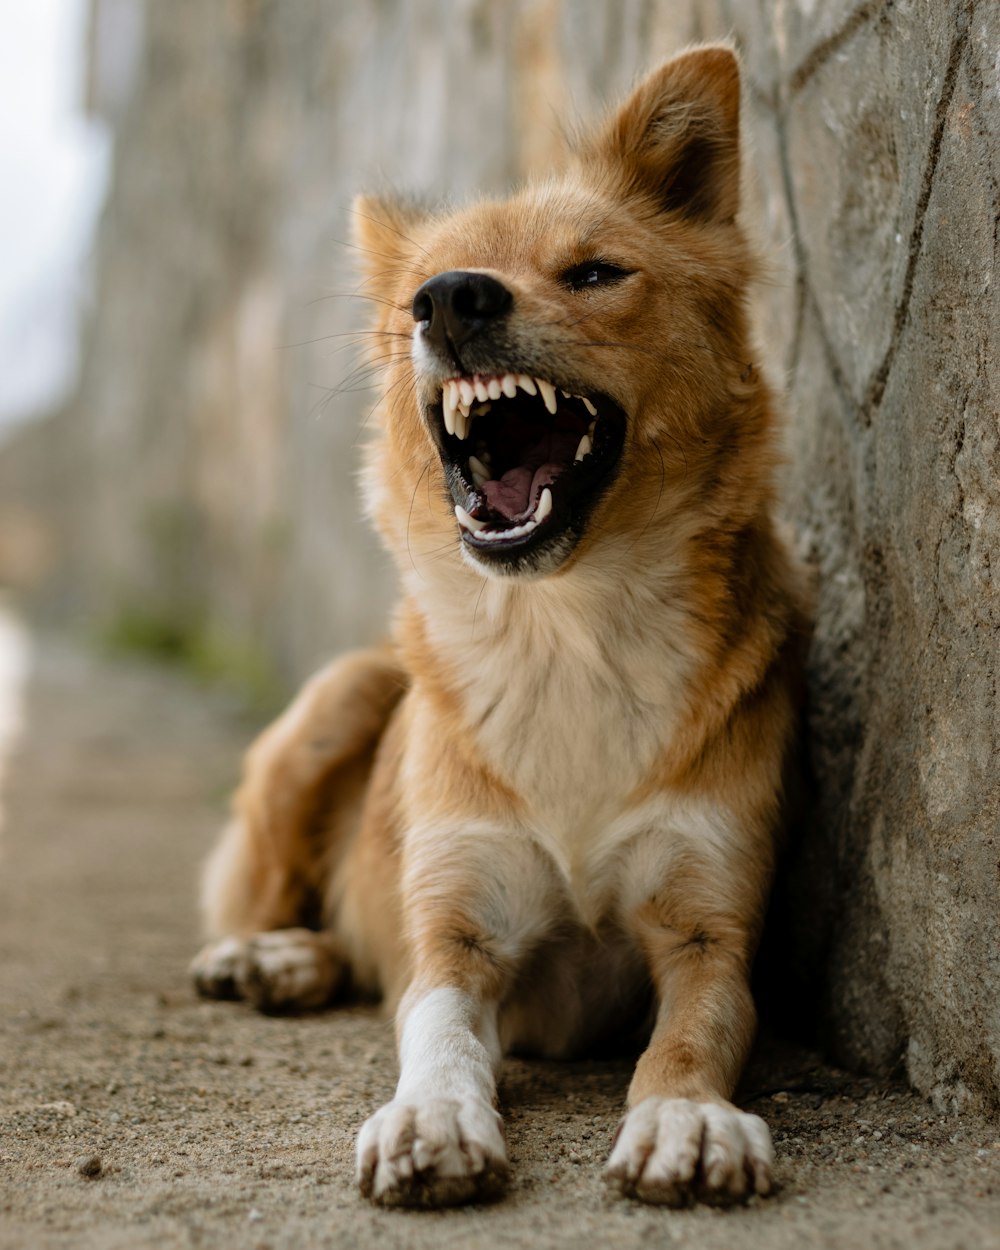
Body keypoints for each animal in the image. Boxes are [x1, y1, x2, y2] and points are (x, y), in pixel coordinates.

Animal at [190, 44, 810, 1205]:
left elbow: (691, 1036)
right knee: (285, 907)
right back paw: (272, 956)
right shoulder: (456, 930)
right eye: (408, 303)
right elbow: (432, 1026)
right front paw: (431, 1116)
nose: (449, 301)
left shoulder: (709, 930)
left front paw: (687, 1118)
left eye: (596, 273)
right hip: (342, 695)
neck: (566, 631)